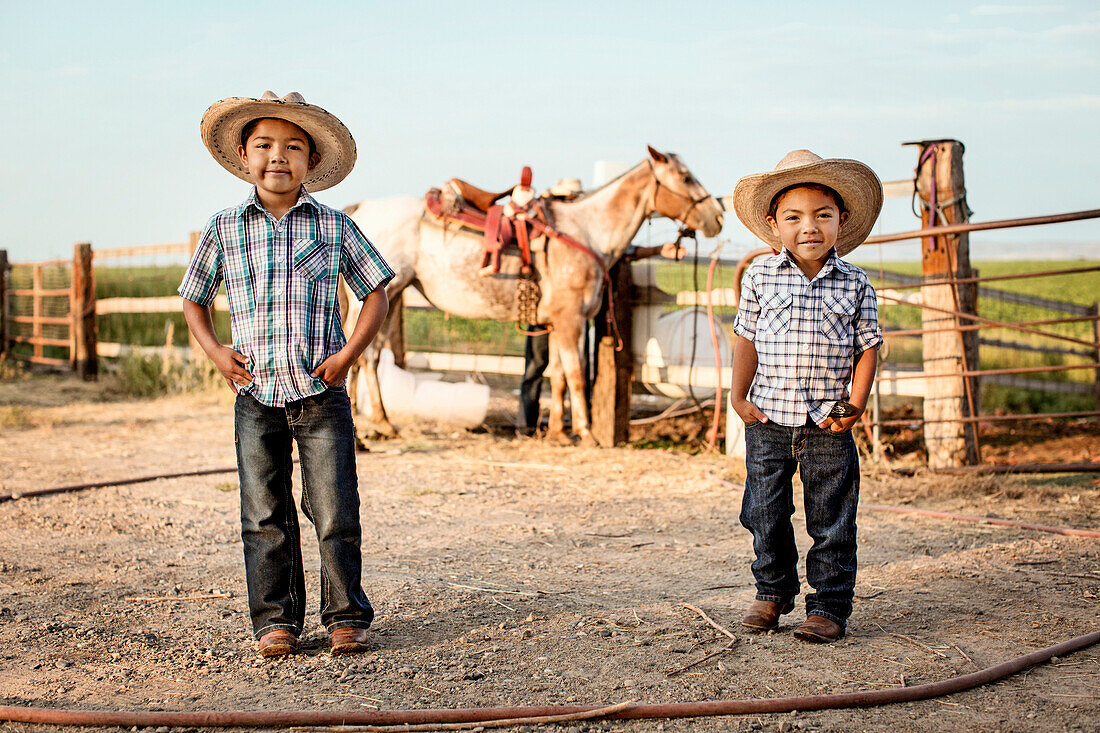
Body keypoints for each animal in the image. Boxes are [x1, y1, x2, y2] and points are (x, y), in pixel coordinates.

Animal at [341, 145, 721, 442]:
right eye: (685, 177)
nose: (717, 216)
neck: (585, 232)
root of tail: (358, 210)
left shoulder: (558, 323)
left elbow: (558, 375)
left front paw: (558, 432)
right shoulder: (570, 320)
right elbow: (576, 374)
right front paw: (585, 432)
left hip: (390, 297)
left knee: (368, 357)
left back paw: (383, 424)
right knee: (357, 354)